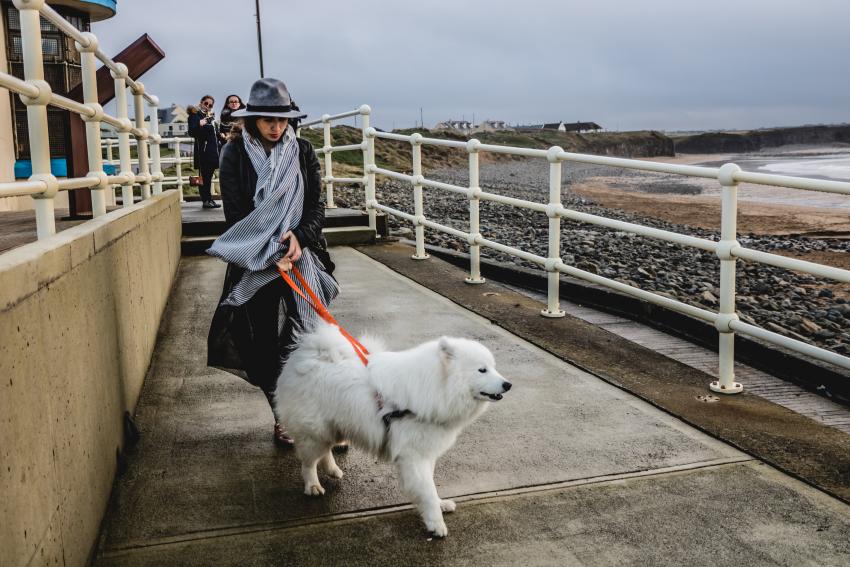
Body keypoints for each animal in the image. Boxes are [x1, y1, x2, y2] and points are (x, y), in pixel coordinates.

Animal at [272, 322, 510, 540]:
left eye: (493, 367)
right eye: (482, 369)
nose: (508, 384)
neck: (437, 387)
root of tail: (308, 354)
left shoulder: (426, 452)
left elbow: (429, 487)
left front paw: (440, 505)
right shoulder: (414, 456)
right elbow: (427, 490)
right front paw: (436, 524)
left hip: (334, 427)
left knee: (325, 452)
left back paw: (332, 470)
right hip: (315, 432)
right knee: (308, 462)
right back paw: (313, 486)